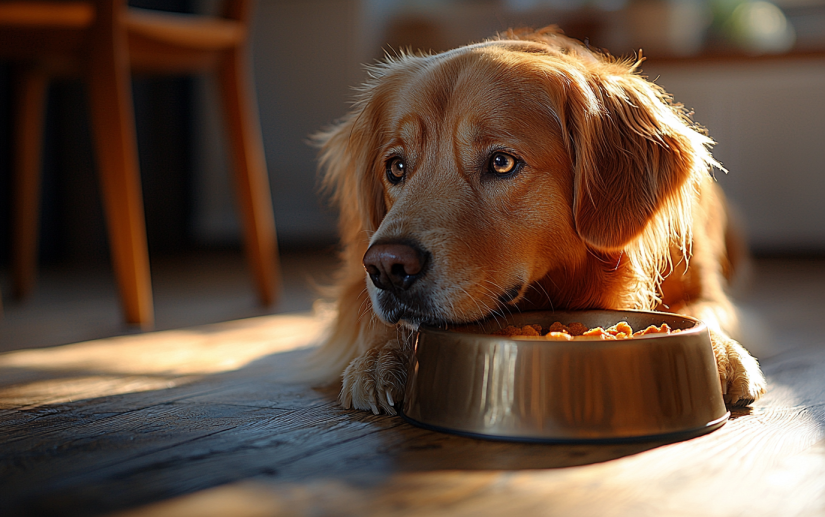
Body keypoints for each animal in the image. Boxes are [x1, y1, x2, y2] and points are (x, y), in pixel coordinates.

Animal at [310, 27, 768, 416]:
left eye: (501, 162)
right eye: (396, 167)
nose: (387, 266)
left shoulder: (699, 283)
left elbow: (703, 312)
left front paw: (722, 353)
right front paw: (380, 357)